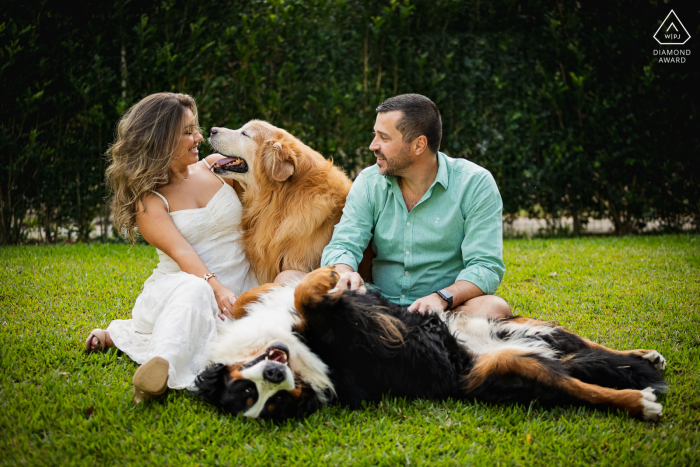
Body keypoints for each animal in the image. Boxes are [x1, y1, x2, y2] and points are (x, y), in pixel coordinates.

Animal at [197, 266, 668, 424]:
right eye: (259, 399)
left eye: (250, 389)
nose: (275, 373)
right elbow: (302, 297)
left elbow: (264, 294)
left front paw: (330, 274)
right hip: (514, 365)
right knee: (580, 386)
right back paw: (641, 402)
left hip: (506, 322)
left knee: (583, 343)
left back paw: (645, 356)